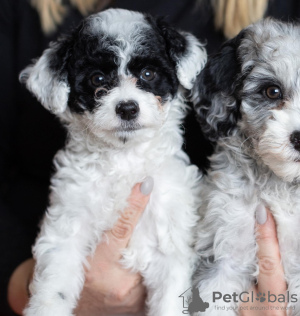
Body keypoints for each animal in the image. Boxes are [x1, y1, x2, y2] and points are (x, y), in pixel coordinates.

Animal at [19, 7, 205, 316]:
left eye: (148, 73)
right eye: (97, 79)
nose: (127, 108)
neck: (124, 159)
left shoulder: (170, 243)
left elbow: (169, 298)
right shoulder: (68, 225)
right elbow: (54, 285)